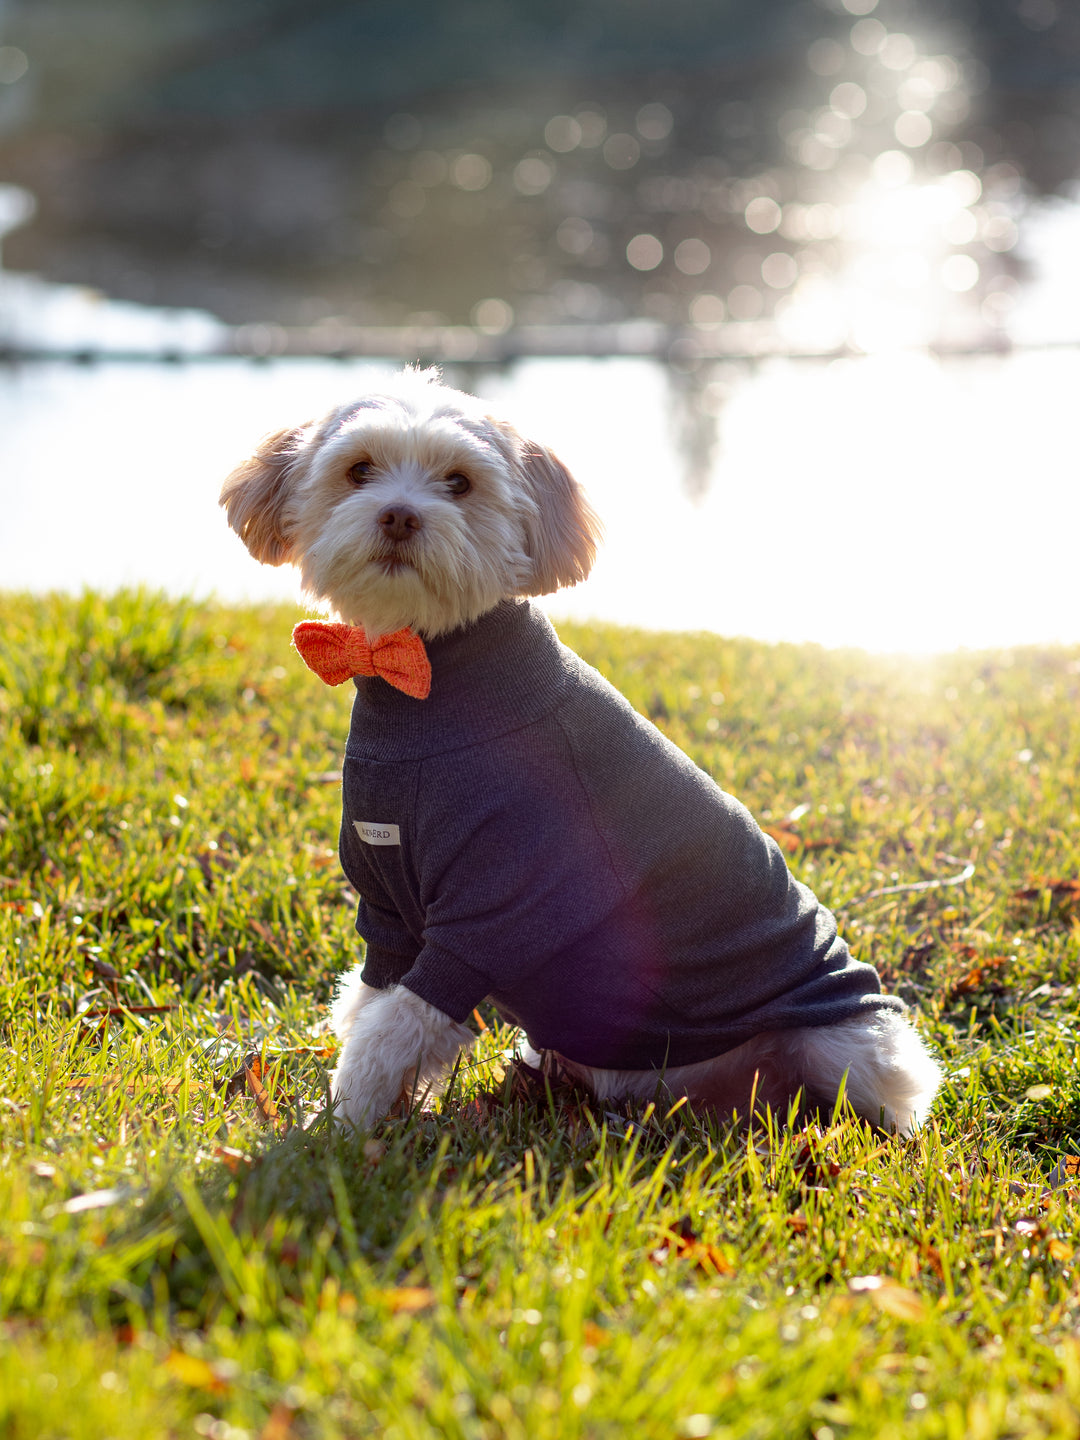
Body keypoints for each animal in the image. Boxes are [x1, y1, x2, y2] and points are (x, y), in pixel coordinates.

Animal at [224, 368, 944, 1134]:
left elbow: (389, 1036)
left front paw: (332, 1136)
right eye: (358, 470)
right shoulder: (389, 918)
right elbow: (369, 1010)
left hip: (850, 1045)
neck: (424, 678)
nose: (398, 516)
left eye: (459, 483)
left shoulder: (489, 914)